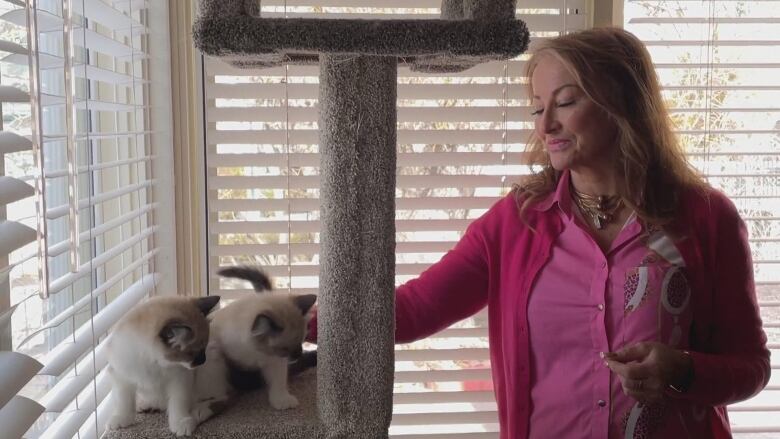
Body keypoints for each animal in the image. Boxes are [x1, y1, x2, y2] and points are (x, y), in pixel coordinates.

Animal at [105, 296, 221, 436]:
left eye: (203, 349)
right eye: (195, 354)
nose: (203, 360)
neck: (152, 361)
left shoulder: (181, 378)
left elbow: (178, 402)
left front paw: (180, 422)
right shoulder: (121, 377)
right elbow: (124, 402)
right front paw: (122, 419)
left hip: (208, 371)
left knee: (221, 397)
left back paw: (199, 412)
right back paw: (147, 405)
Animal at [195, 266, 316, 418]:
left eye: (302, 341)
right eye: (284, 348)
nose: (298, 354)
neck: (256, 352)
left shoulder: (275, 361)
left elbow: (279, 381)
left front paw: (282, 401)